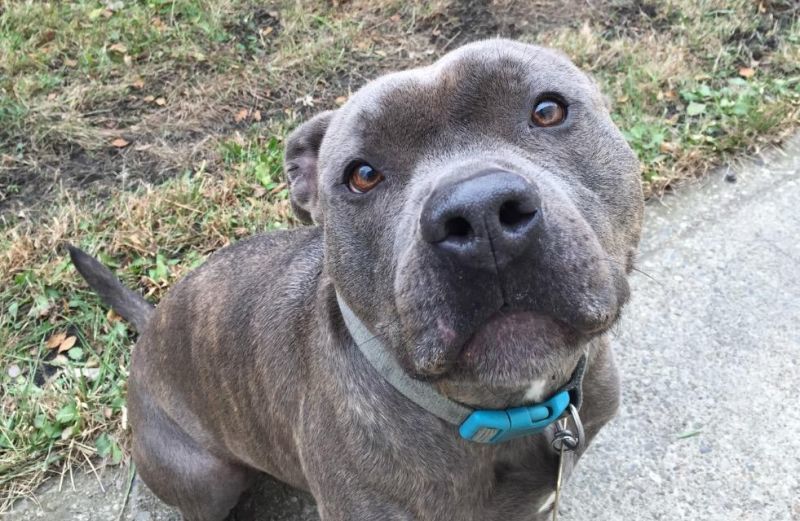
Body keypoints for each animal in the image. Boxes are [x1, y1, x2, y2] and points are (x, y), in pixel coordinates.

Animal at [69, 39, 644, 520]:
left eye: (548, 110)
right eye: (362, 175)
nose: (479, 215)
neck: (505, 410)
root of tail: (152, 325)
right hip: (205, 475)